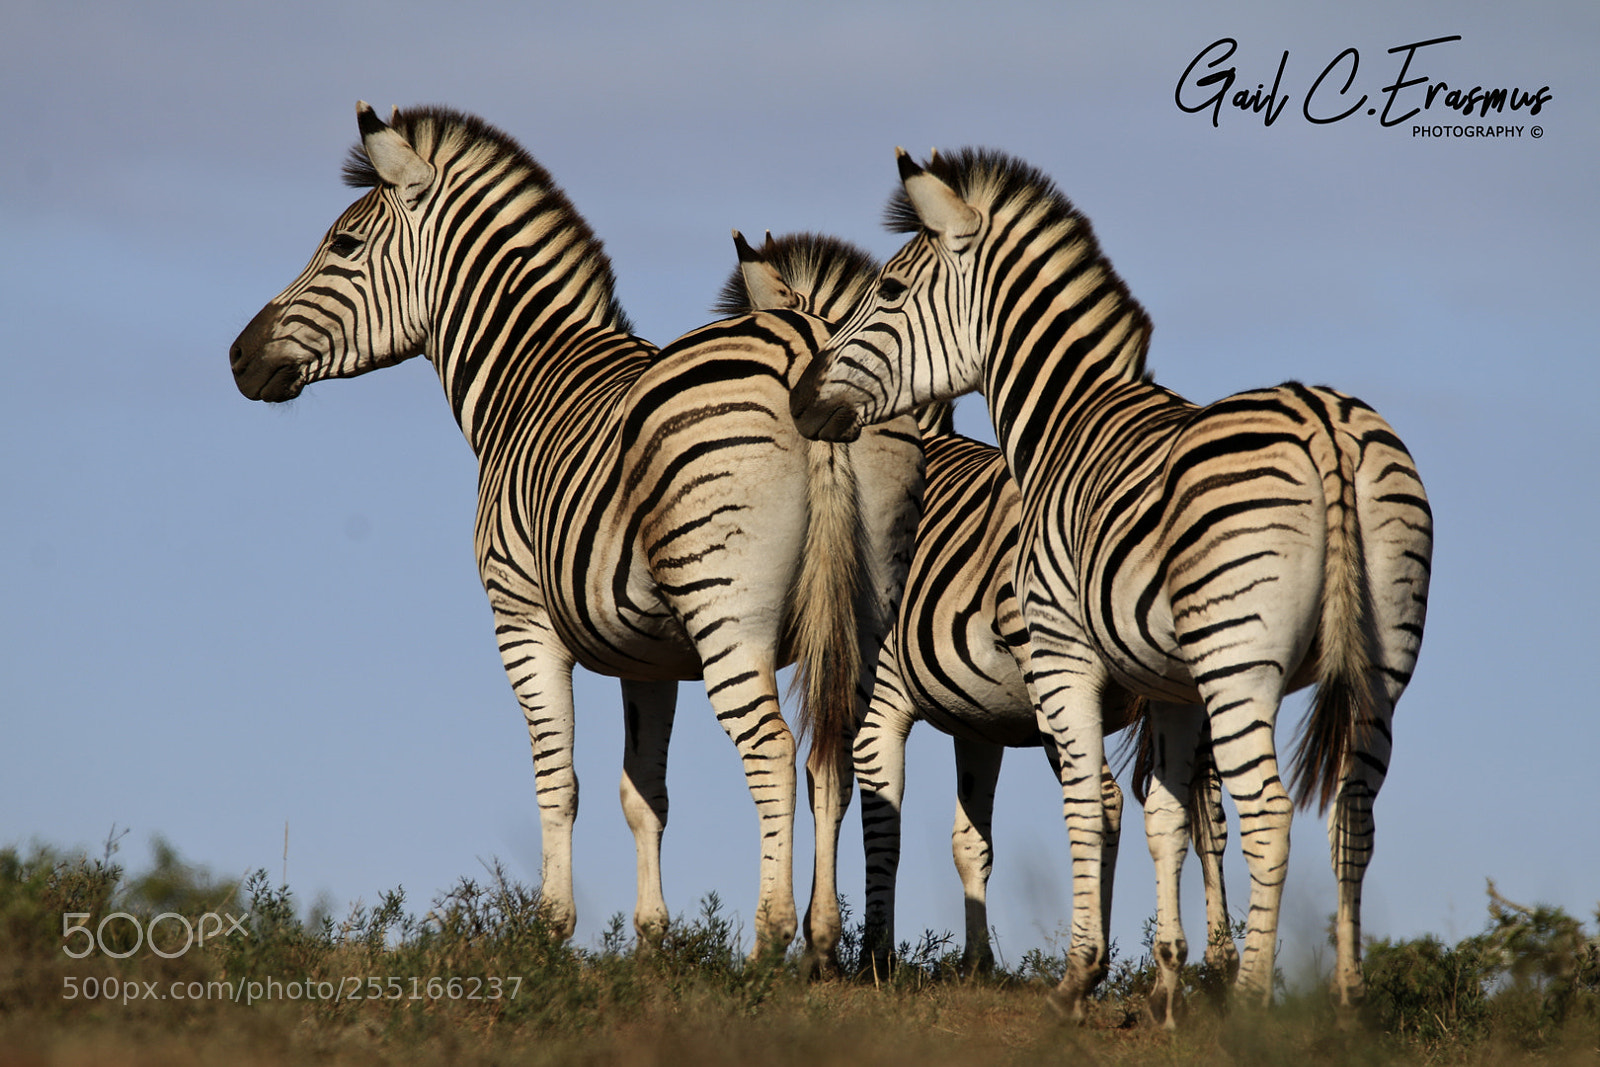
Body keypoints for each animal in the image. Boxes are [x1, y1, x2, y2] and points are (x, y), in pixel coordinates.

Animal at [228, 103, 924, 968]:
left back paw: (769, 938)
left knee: (771, 749)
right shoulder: (651, 655)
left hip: (728, 610)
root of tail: (807, 342)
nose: (238, 356)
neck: (525, 377)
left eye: (345, 246)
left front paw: (550, 928)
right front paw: (653, 939)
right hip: (862, 612)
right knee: (833, 755)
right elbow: (643, 792)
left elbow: (557, 780)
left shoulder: (521, 617)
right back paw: (824, 943)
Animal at [722, 231, 1237, 1012]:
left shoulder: (880, 699)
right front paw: (975, 963)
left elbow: (875, 816)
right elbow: (971, 839)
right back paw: (1215, 965)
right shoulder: (980, 721)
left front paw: (867, 956)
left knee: (1107, 801)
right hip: (1180, 679)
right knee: (1203, 809)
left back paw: (1101, 966)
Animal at [790, 148, 1432, 1018]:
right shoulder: (1170, 685)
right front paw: (1164, 984)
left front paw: (1074, 976)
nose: (801, 399)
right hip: (1381, 664)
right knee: (1351, 814)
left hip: (1238, 664)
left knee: (1269, 812)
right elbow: (1164, 814)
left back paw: (1251, 1001)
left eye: (888, 292)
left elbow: (1080, 810)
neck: (1062, 420)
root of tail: (1323, 418)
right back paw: (1346, 1001)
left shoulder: (1058, 655)